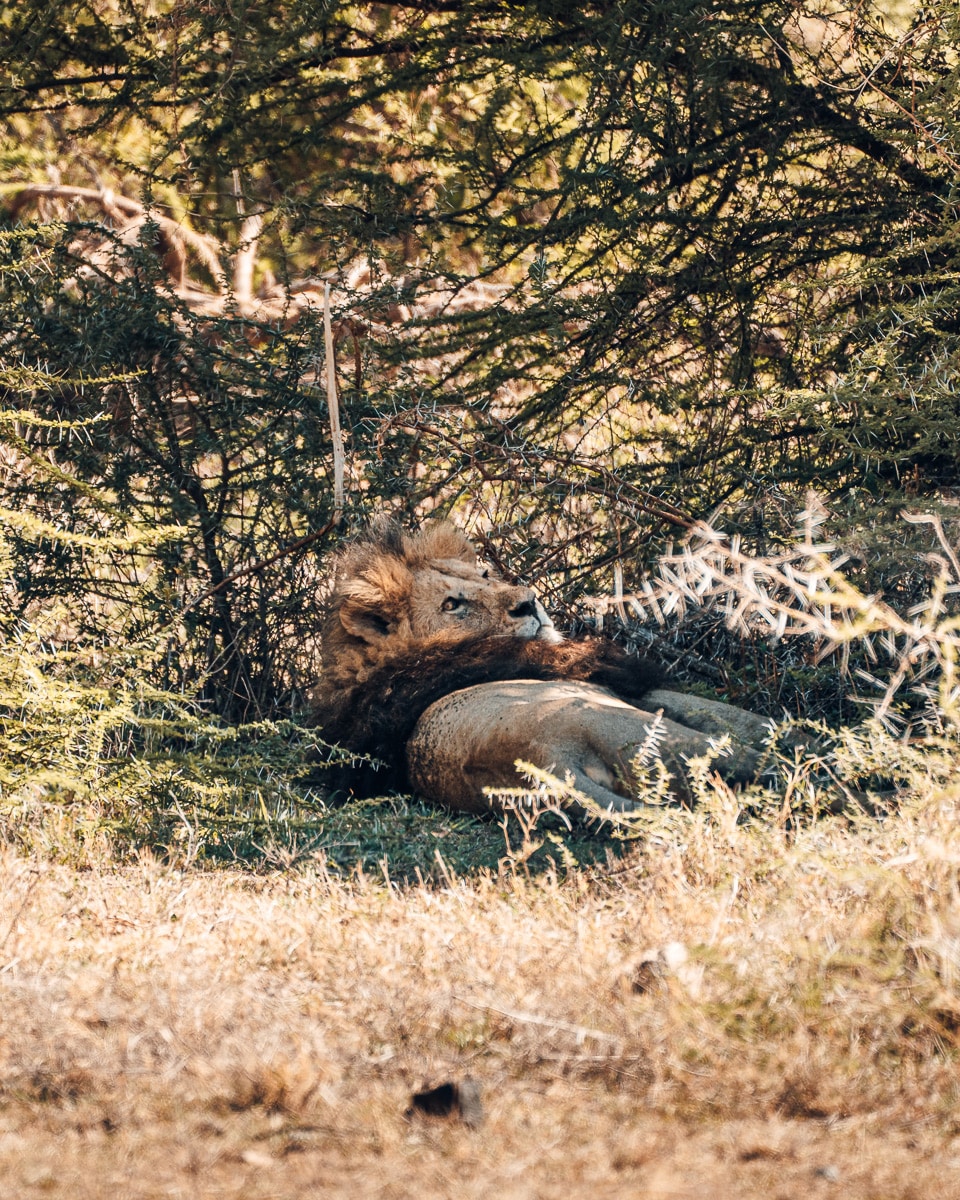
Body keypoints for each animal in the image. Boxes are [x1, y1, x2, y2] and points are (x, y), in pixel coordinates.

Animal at [309, 519, 772, 813]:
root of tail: (546, 759)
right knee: (759, 764)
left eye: (485, 574)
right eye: (451, 604)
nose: (529, 601)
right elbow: (742, 717)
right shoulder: (624, 683)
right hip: (636, 726)